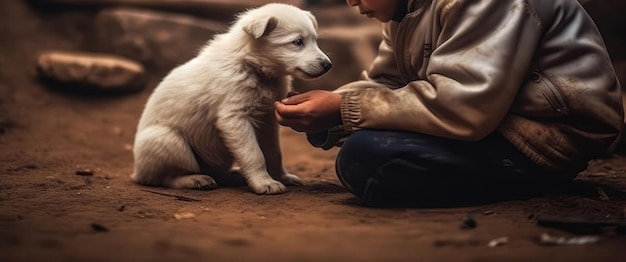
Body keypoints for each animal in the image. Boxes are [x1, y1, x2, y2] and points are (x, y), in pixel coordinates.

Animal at [132, 3, 332, 193]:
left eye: (315, 40)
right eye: (297, 42)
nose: (328, 65)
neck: (251, 66)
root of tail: (136, 172)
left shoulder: (267, 120)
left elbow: (274, 153)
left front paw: (281, 177)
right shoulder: (234, 118)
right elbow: (254, 154)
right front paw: (264, 183)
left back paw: (234, 175)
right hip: (168, 140)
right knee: (166, 177)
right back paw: (195, 179)